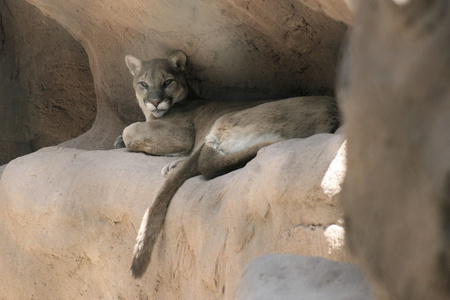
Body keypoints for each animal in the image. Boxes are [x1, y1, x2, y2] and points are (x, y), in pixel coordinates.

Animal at [121, 50, 340, 278]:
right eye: (143, 84)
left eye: (167, 82)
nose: (155, 101)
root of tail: (330, 114)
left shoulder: (182, 133)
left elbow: (129, 130)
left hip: (231, 119)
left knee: (206, 160)